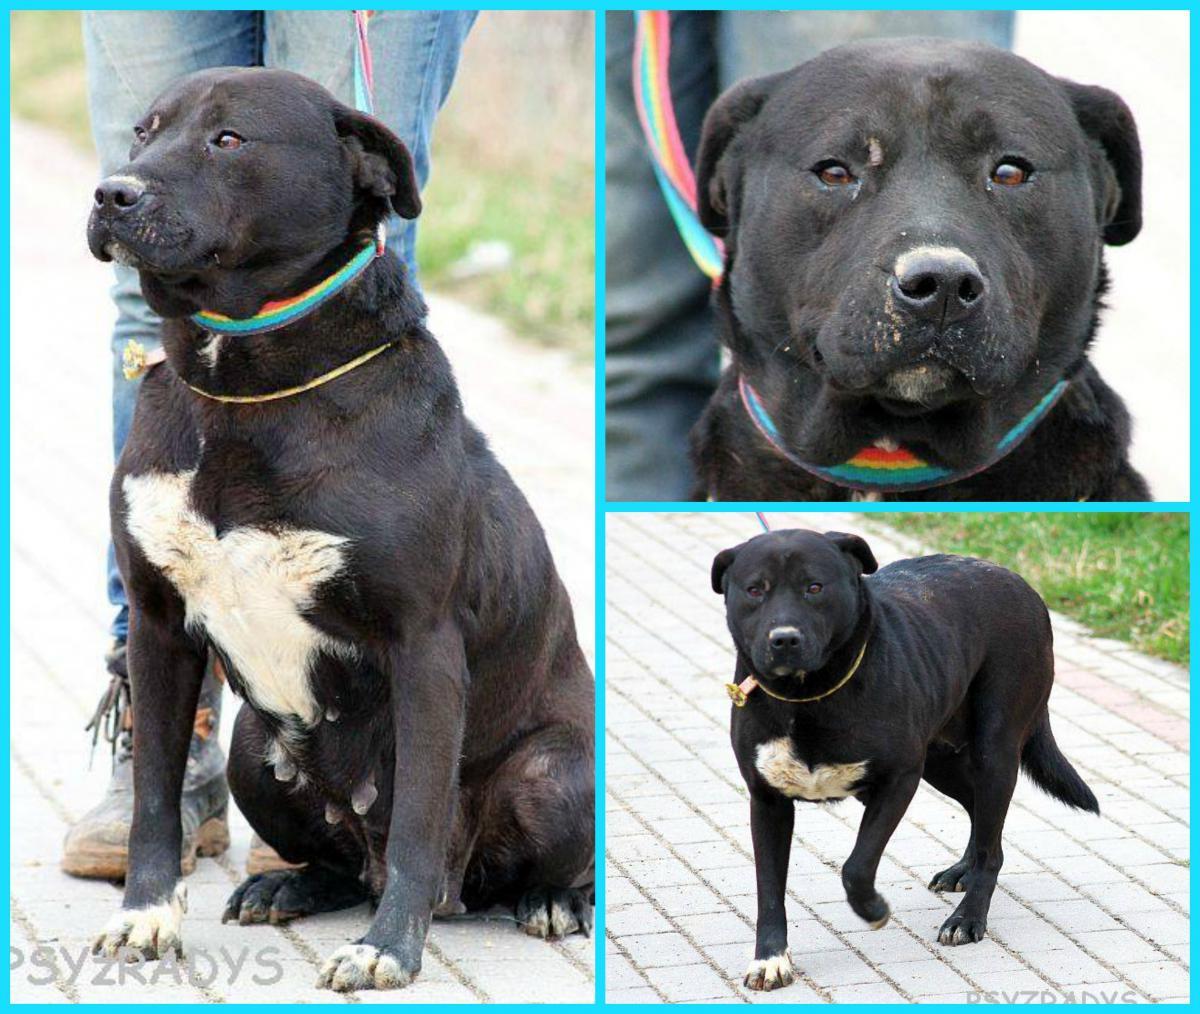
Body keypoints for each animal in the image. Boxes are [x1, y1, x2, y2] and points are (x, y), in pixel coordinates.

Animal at [86, 67, 594, 991]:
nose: (113, 191)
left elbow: (421, 818)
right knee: (346, 864)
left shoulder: (424, 645)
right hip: (252, 747)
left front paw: (388, 950)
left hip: (554, 771)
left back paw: (551, 900)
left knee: (483, 861)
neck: (243, 385)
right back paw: (287, 885)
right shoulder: (158, 624)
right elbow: (152, 797)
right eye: (144, 130)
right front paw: (146, 916)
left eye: (229, 139)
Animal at [711, 528, 1098, 990]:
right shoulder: (767, 800)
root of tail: (1020, 583)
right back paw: (962, 870)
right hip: (941, 760)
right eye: (755, 590)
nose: (784, 639)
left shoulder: (898, 781)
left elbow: (857, 866)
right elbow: (769, 888)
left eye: (814, 587)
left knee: (991, 839)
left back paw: (968, 917)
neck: (807, 697)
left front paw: (873, 910)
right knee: (981, 816)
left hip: (994, 750)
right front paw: (770, 959)